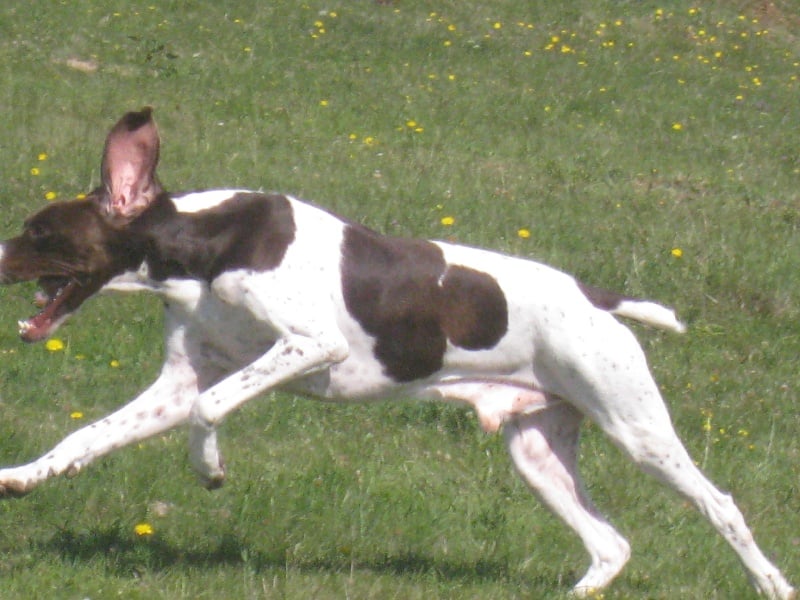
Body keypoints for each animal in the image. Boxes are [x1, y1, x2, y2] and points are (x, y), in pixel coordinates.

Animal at [0, 110, 792, 596]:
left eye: (40, 232)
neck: (205, 240)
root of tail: (595, 296)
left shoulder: (309, 345)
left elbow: (212, 407)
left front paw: (210, 467)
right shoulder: (175, 383)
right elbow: (87, 437)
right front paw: (22, 476)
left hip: (638, 432)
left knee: (720, 506)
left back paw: (772, 582)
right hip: (537, 454)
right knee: (611, 545)